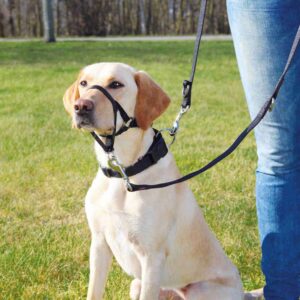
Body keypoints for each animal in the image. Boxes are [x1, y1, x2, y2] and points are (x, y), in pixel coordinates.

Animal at [63, 62, 244, 298]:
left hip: (198, 290)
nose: (81, 106)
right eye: (84, 83)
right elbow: (94, 292)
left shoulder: (151, 257)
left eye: (116, 84)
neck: (123, 174)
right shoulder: (99, 243)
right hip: (136, 284)